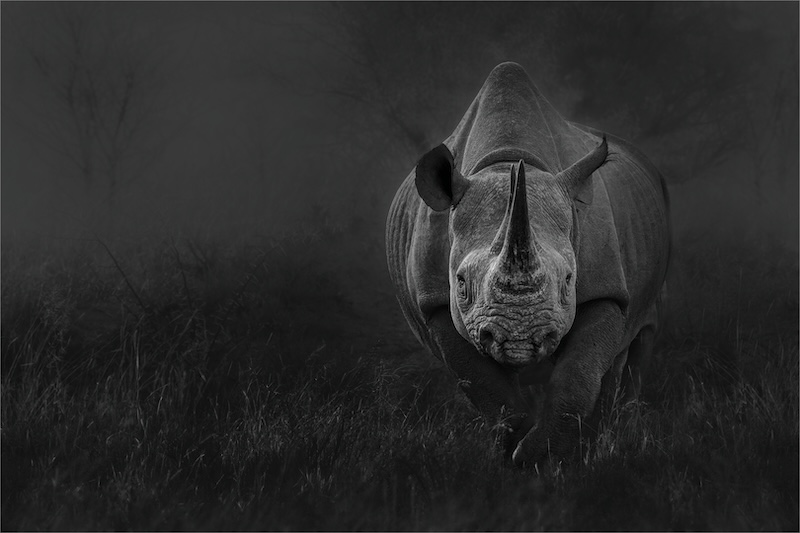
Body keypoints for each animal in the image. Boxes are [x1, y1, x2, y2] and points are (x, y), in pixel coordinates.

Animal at [385, 62, 670, 466]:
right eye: (460, 282)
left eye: (569, 280)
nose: (520, 339)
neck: (506, 161)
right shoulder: (435, 304)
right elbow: (487, 388)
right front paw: (519, 451)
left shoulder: (608, 290)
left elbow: (579, 375)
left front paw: (542, 458)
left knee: (639, 336)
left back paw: (617, 433)